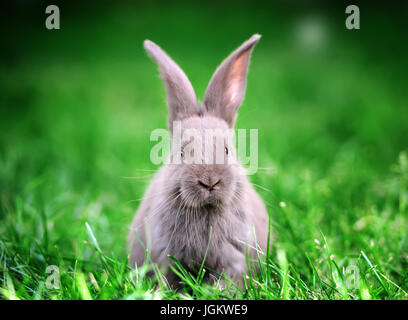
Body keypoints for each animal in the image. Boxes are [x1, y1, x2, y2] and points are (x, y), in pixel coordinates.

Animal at [127, 33, 270, 288]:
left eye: (226, 150)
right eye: (182, 153)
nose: (209, 181)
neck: (206, 209)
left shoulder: (233, 257)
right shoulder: (167, 257)